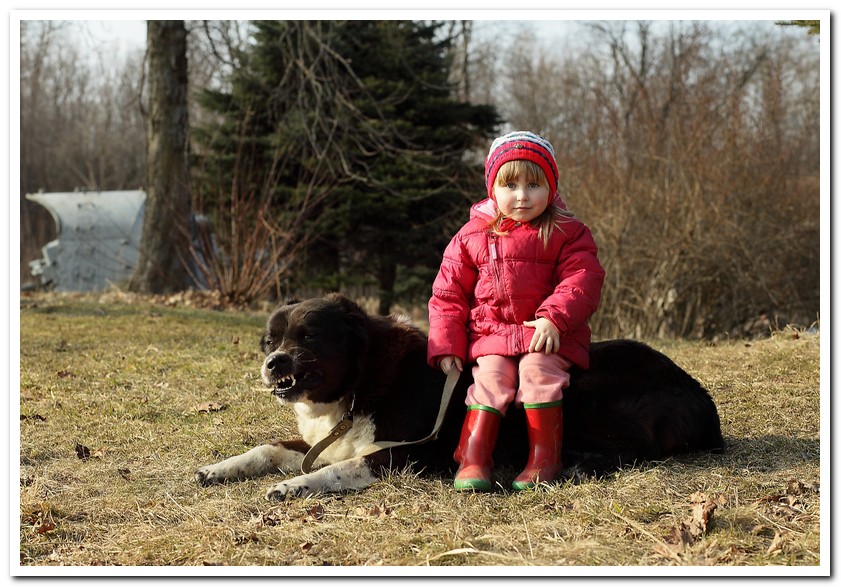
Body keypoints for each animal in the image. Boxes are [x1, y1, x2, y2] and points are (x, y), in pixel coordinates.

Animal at [195, 294, 720, 500]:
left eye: (308, 338)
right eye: (269, 341)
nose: (273, 362)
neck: (364, 379)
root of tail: (699, 394)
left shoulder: (408, 454)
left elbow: (337, 469)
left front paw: (292, 486)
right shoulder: (326, 441)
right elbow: (270, 447)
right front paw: (219, 469)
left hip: (588, 392)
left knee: (634, 449)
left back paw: (575, 465)